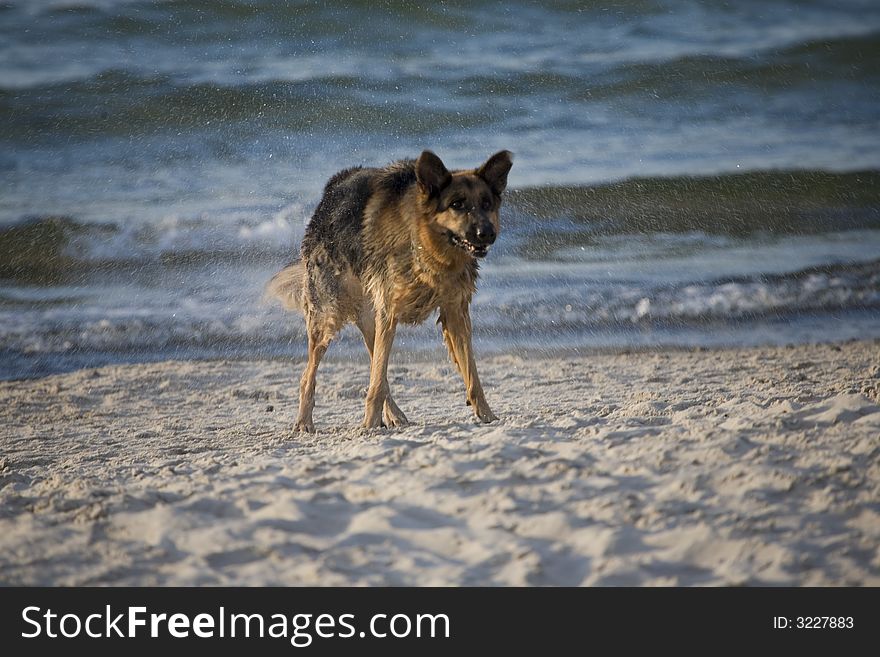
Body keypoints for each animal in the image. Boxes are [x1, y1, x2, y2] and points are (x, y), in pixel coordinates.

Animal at [268, 151, 516, 434]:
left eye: (486, 204)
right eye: (457, 204)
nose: (487, 234)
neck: (426, 247)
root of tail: (330, 191)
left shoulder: (455, 314)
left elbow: (472, 376)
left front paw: (488, 416)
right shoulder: (389, 312)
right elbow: (376, 381)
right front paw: (369, 423)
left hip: (369, 319)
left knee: (376, 364)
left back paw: (394, 415)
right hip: (329, 315)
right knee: (310, 373)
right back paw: (304, 421)